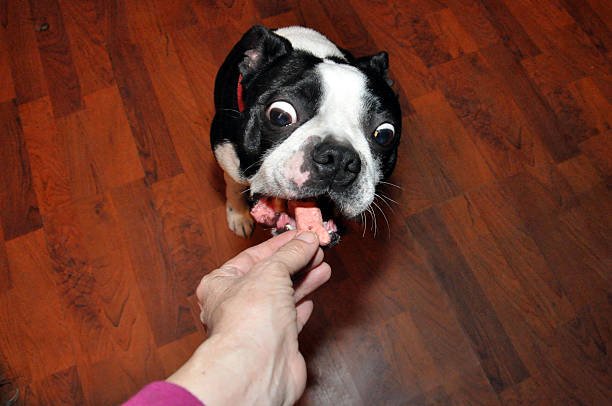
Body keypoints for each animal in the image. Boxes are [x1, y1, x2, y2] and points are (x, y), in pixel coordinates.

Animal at [210, 26, 402, 247]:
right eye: (280, 115)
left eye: (385, 134)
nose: (338, 157)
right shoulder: (226, 156)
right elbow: (233, 186)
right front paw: (239, 216)